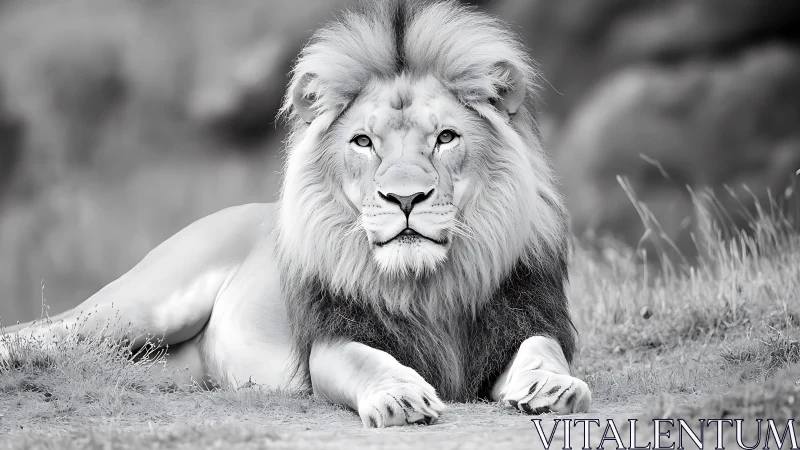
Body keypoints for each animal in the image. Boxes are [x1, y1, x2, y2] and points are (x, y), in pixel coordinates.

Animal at [1, 0, 591, 427]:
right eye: (363, 142)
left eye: (446, 138)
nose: (404, 199)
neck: (427, 286)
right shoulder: (330, 341)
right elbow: (366, 360)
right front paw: (399, 395)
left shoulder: (523, 318)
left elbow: (543, 350)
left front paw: (554, 387)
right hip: (140, 306)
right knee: (37, 329)